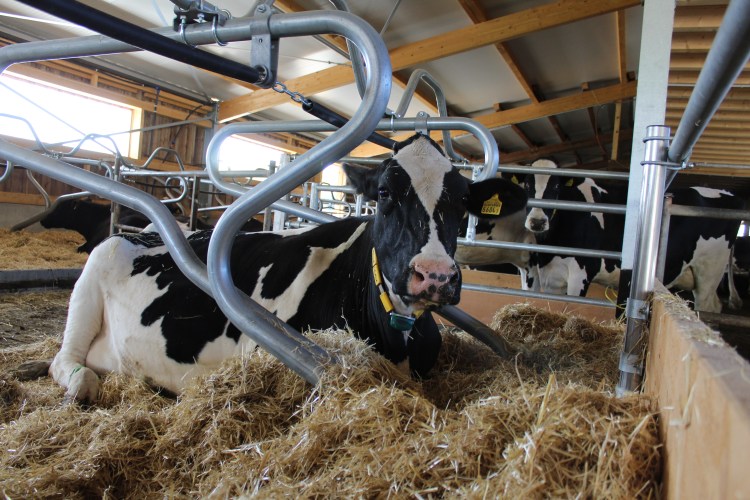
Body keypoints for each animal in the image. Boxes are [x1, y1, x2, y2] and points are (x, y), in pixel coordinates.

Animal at [23, 134, 527, 403]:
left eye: (462, 201)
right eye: (384, 193)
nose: (435, 275)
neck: (395, 335)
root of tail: (141, 231)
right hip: (91, 282)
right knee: (64, 359)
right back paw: (82, 384)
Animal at [522, 172, 744, 313]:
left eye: (556, 186)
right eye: (526, 186)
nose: (537, 221)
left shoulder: (582, 272)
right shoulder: (540, 273)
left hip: (709, 270)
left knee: (706, 305)